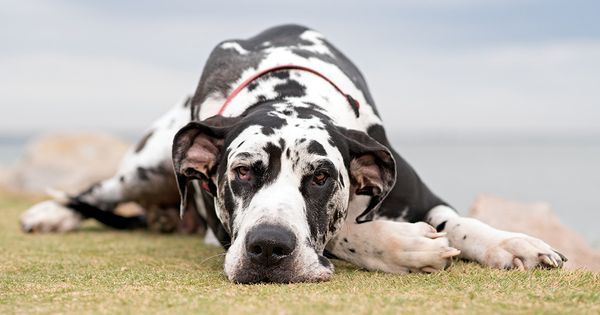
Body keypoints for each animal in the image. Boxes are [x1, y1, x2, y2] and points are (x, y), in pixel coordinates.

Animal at [21, 24, 568, 284]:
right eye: (242, 173)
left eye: (322, 177)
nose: (268, 249)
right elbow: (345, 231)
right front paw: (401, 245)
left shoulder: (417, 190)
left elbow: (460, 222)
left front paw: (511, 243)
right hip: (148, 161)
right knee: (98, 191)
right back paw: (50, 213)